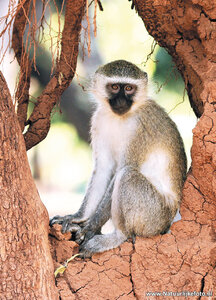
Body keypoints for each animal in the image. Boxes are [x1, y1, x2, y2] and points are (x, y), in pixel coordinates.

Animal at [51, 59, 187, 256]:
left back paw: (118, 236)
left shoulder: (140, 129)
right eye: (115, 87)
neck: (121, 117)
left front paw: (90, 228)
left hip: (155, 216)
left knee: (127, 175)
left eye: (129, 88)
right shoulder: (98, 120)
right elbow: (103, 169)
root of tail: (172, 217)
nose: (122, 100)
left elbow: (122, 170)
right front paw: (77, 217)